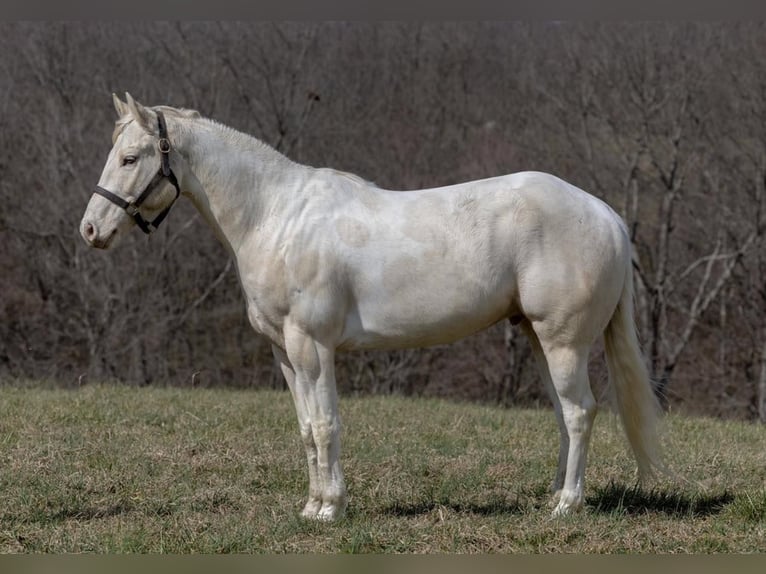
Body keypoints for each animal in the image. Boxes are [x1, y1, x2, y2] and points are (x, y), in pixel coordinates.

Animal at [78, 93, 664, 520]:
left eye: (130, 158)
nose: (90, 230)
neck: (277, 217)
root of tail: (606, 214)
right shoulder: (285, 354)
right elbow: (305, 428)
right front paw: (312, 504)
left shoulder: (312, 346)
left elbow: (325, 424)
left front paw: (330, 509)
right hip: (538, 339)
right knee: (565, 416)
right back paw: (553, 497)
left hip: (564, 342)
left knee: (580, 411)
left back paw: (568, 506)